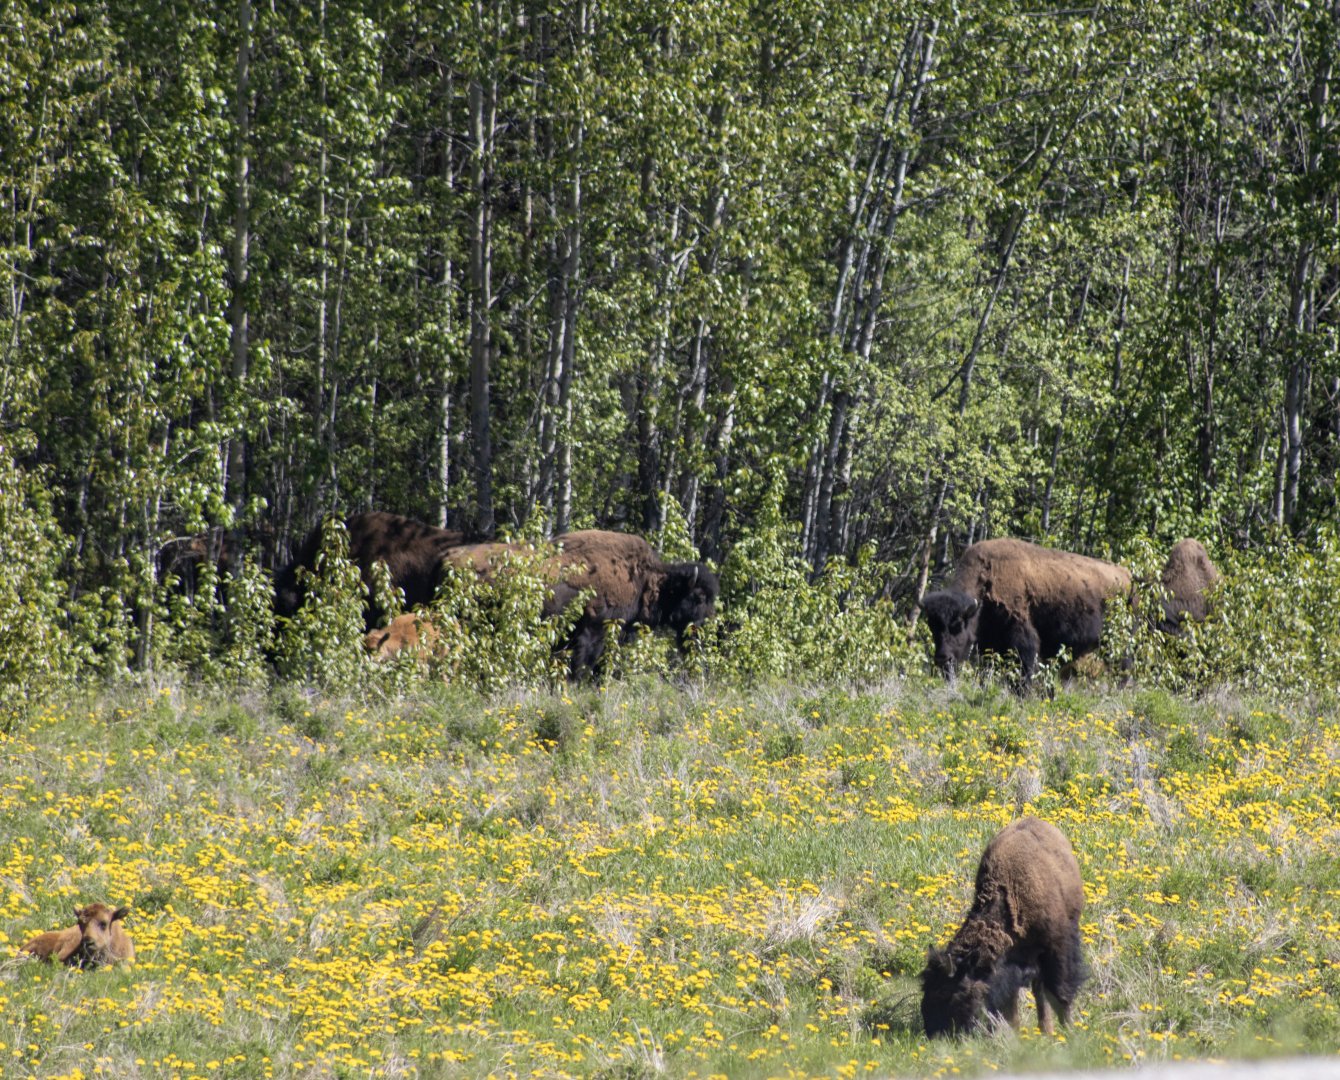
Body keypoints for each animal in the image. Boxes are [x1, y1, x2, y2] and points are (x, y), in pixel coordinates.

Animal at [918, 538, 1131, 687]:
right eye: (932, 627)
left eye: (958, 625)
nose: (942, 659)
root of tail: (1128, 577)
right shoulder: (989, 643)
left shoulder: (1022, 638)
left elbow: (1024, 668)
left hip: (1119, 645)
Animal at [921, 817, 1085, 1037]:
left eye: (951, 991)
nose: (933, 1032)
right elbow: (1012, 1003)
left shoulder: (1056, 950)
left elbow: (1060, 994)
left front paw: (1069, 1032)